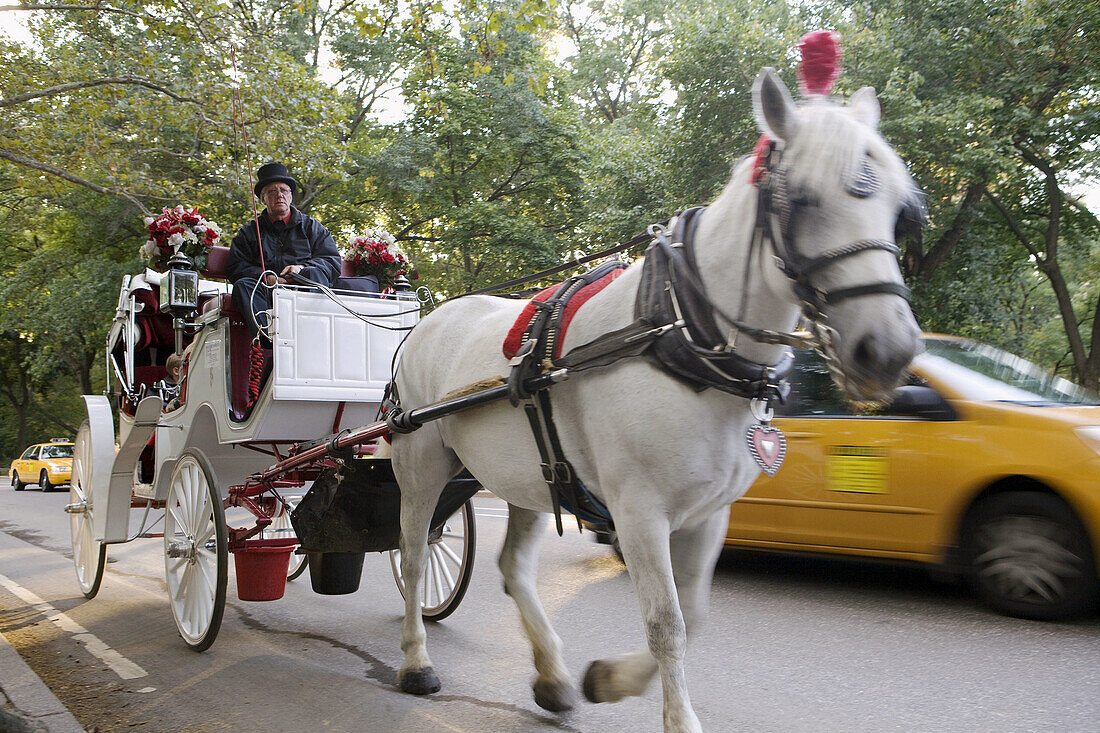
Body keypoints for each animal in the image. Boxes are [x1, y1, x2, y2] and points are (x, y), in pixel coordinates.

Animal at [391, 67, 924, 726]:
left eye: (898, 211)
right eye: (801, 199)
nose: (889, 351)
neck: (685, 335)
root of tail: (429, 319)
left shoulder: (709, 514)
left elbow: (692, 615)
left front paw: (608, 680)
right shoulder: (639, 511)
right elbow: (667, 622)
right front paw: (678, 717)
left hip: (527, 479)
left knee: (513, 568)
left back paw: (552, 676)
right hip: (422, 464)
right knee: (414, 556)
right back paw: (416, 660)